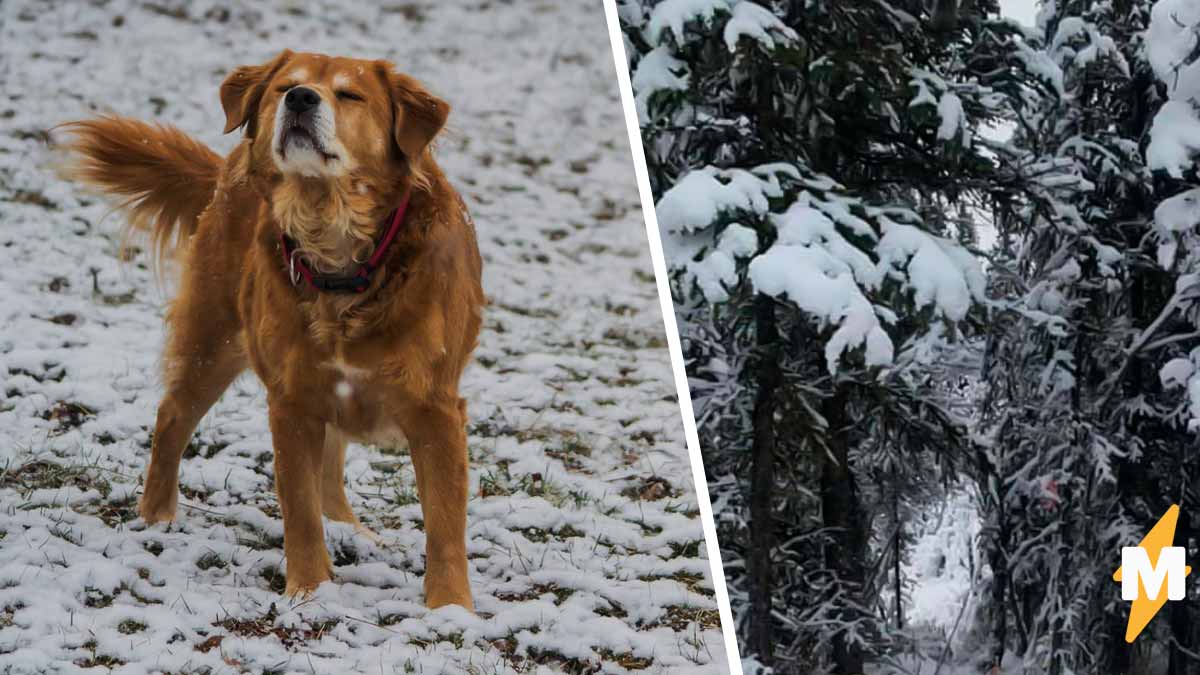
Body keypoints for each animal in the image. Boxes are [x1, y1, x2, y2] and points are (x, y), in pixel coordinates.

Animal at [60, 49, 482, 607]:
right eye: (286, 85)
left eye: (350, 95)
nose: (301, 99)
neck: (337, 252)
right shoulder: (292, 400)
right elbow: (299, 510)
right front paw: (309, 594)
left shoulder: (436, 408)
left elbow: (445, 525)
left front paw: (450, 609)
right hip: (213, 339)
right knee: (172, 418)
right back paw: (156, 517)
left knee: (332, 463)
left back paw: (349, 529)